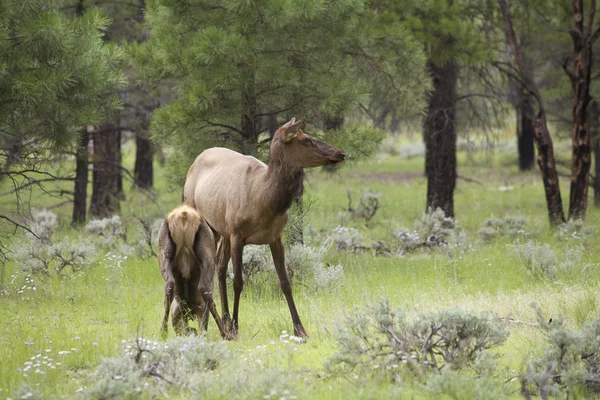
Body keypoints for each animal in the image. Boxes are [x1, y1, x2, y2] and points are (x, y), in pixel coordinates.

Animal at [157, 205, 232, 340]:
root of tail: (184, 214)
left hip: (164, 255)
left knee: (169, 286)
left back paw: (163, 332)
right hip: (208, 259)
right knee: (204, 289)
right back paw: (226, 333)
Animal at [183, 119, 344, 338]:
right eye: (306, 139)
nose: (340, 153)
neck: (263, 200)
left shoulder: (275, 236)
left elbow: (285, 282)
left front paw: (300, 329)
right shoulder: (238, 235)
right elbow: (239, 282)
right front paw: (236, 327)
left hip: (223, 230)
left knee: (219, 266)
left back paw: (221, 321)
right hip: (206, 223)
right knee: (208, 270)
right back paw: (213, 325)